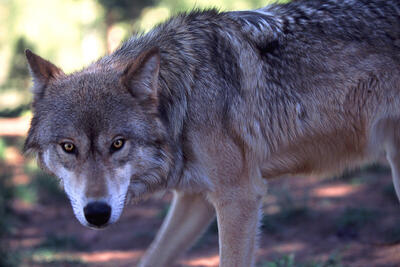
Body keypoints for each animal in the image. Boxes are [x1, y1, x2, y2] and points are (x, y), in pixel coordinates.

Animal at [24, 0, 400, 266]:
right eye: (68, 147)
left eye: (118, 144)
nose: (97, 213)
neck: (184, 99)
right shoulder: (194, 199)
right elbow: (152, 257)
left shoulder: (240, 197)